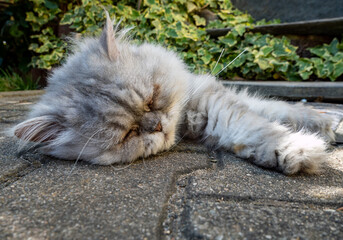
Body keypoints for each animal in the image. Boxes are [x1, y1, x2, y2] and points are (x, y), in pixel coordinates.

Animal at [11, 11, 336, 174]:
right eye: (128, 134)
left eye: (151, 99)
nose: (156, 125)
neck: (184, 125)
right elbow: (257, 127)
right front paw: (298, 149)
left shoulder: (208, 96)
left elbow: (266, 113)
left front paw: (316, 127)